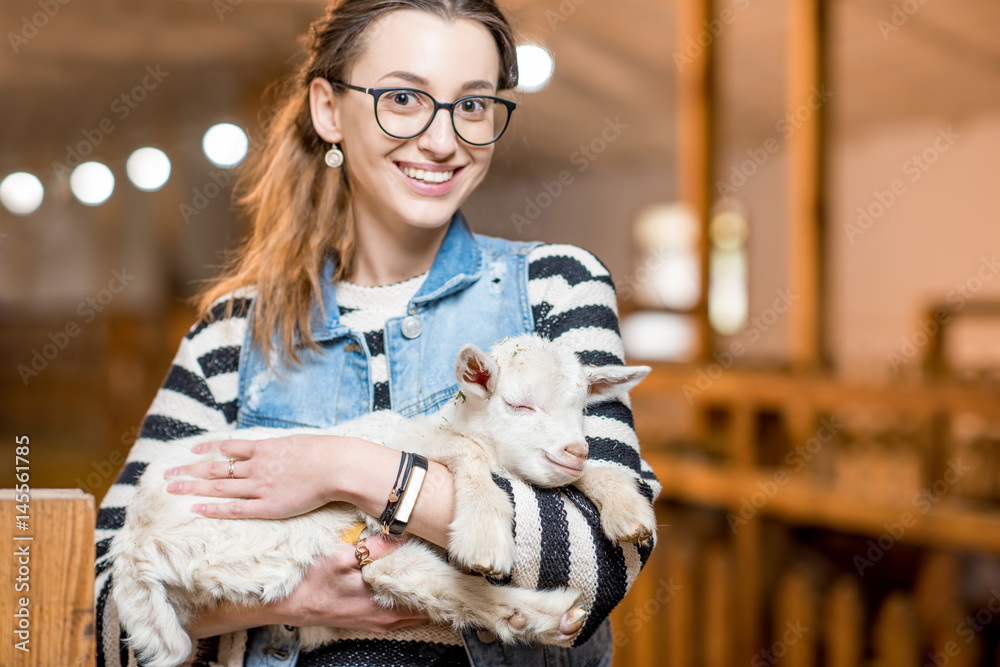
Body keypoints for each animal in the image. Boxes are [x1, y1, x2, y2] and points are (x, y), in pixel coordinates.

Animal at [111, 334, 656, 667]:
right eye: (518, 405)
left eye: (582, 409)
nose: (574, 449)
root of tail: (133, 546)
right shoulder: (427, 445)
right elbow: (467, 455)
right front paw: (484, 534)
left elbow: (594, 474)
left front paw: (627, 512)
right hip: (269, 531)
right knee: (402, 575)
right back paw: (535, 612)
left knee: (415, 579)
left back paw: (536, 617)